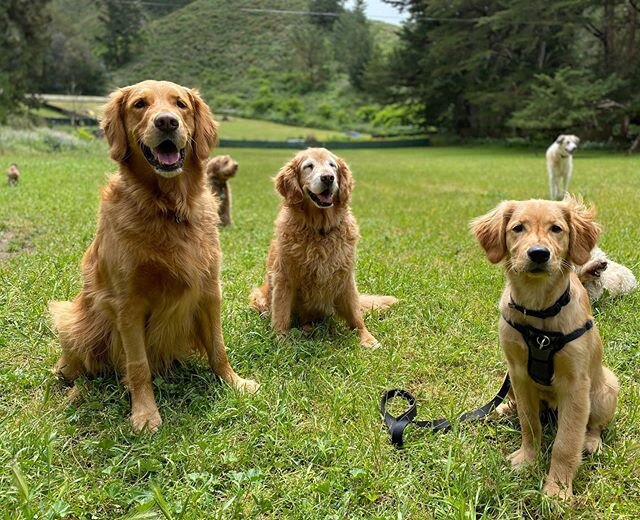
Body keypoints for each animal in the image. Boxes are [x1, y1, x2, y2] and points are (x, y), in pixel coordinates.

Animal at [48, 79, 258, 432]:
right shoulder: (128, 304)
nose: (167, 122)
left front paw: (234, 382)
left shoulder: (209, 290)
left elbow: (218, 348)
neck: (168, 209)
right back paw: (71, 383)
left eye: (180, 104)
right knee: (73, 362)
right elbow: (138, 366)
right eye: (140, 104)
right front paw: (145, 413)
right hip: (73, 318)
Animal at [249, 148, 396, 348]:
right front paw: (281, 341)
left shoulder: (345, 278)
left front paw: (366, 338)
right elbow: (281, 314)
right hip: (258, 294)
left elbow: (356, 316)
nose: (328, 178)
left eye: (332, 165)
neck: (319, 229)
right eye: (308, 166)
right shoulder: (284, 277)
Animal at [470, 196, 620, 500]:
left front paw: (557, 491)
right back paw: (505, 409)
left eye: (556, 229)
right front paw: (527, 459)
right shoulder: (519, 373)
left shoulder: (575, 385)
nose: (539, 254)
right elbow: (529, 422)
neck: (539, 311)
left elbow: (566, 441)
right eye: (518, 228)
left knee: (595, 425)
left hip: (607, 387)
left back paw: (591, 442)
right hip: (510, 380)